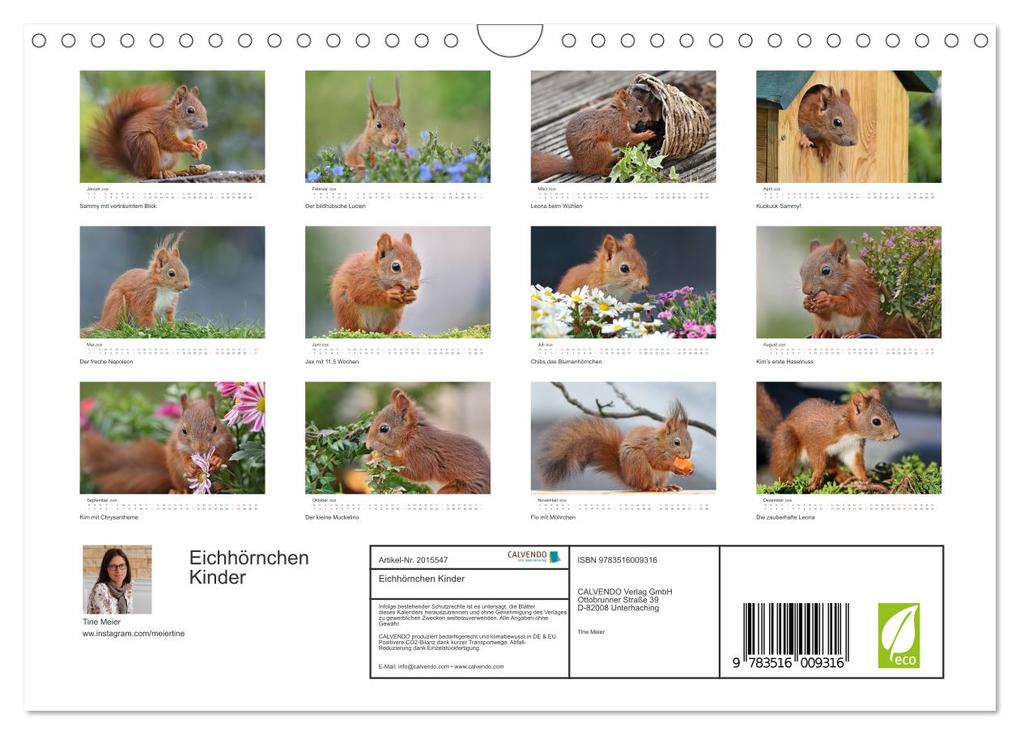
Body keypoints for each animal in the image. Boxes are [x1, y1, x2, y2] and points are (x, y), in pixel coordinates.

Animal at [81, 393, 236, 494]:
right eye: (183, 430)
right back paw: (179, 492)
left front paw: (216, 460)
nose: (200, 448)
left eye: (215, 428)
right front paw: (189, 466)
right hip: (177, 476)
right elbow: (183, 457)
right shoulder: (177, 446)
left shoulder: (225, 442)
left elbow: (223, 453)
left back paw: (221, 486)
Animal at [538, 400, 694, 492]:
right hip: (639, 463)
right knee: (644, 486)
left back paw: (667, 487)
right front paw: (675, 467)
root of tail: (627, 478)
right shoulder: (652, 449)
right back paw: (654, 488)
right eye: (677, 442)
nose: (687, 456)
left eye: (691, 441)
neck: (662, 442)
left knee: (657, 483)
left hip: (660, 476)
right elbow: (659, 462)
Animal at [757, 384, 899, 492]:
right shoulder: (817, 440)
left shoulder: (852, 447)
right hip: (786, 440)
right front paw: (816, 476)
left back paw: (841, 475)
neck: (849, 432)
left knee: (831, 466)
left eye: (890, 413)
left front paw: (865, 479)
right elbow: (818, 460)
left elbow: (855, 464)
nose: (896, 434)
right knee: (782, 465)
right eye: (876, 421)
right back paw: (789, 481)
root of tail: (775, 432)